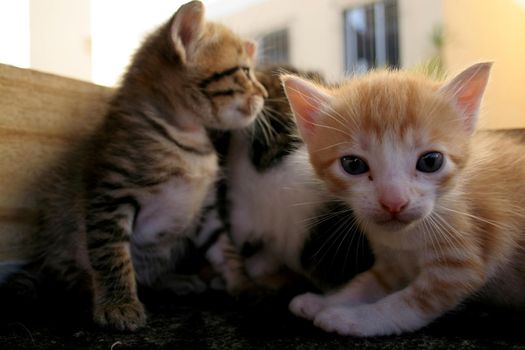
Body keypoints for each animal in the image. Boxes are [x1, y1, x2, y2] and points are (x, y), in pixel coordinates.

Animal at [36, 0, 264, 330]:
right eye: (244, 71)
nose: (265, 94)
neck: (189, 140)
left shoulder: (206, 210)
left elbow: (225, 248)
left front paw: (244, 285)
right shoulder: (111, 195)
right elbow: (112, 254)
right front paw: (118, 305)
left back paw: (175, 281)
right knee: (73, 279)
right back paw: (91, 288)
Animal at [282, 63, 525, 336]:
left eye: (431, 161)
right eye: (353, 164)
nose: (394, 202)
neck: (405, 238)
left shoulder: (459, 267)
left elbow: (403, 304)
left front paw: (350, 318)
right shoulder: (392, 264)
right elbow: (364, 284)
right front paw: (325, 302)